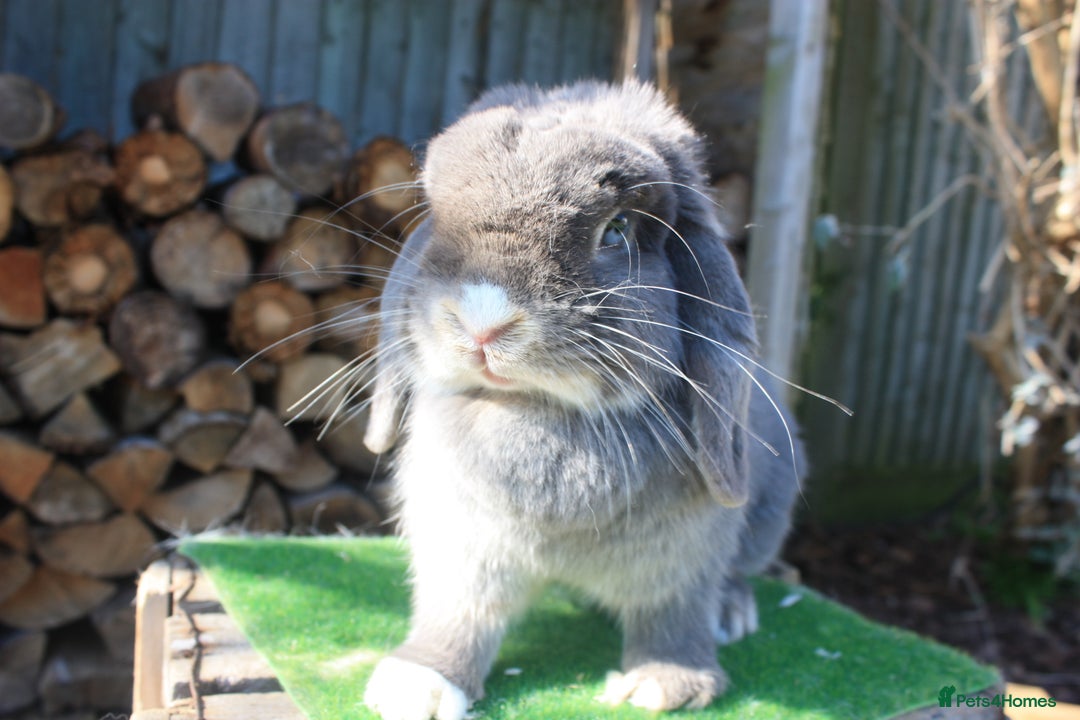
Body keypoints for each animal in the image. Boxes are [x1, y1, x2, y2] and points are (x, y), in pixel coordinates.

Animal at [359, 80, 804, 720]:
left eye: (616, 231)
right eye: (439, 221)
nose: (483, 320)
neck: (541, 409)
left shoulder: (683, 556)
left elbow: (674, 610)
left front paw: (664, 685)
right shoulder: (460, 545)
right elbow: (458, 613)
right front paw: (418, 682)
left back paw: (731, 612)